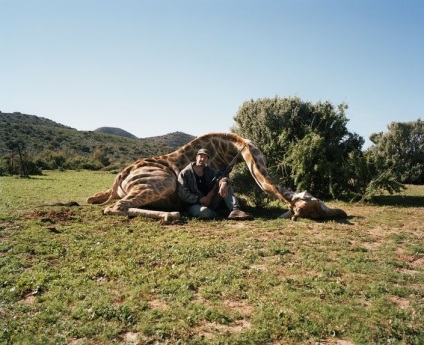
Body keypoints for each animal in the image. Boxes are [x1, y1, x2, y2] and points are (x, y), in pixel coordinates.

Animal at [87, 132, 348, 220]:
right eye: (315, 203)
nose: (342, 213)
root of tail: (121, 177)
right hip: (165, 181)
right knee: (114, 208)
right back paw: (172, 215)